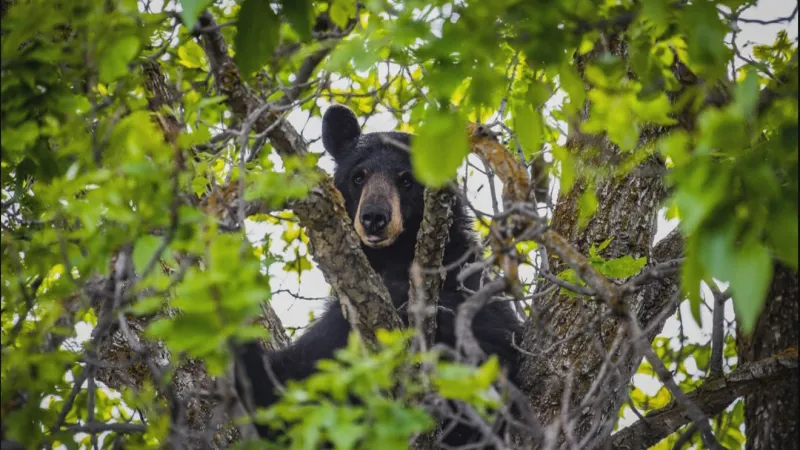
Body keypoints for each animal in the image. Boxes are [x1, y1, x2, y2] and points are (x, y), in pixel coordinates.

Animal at [234, 104, 524, 448]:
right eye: (359, 176)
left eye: (406, 179)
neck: (392, 259)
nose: (374, 217)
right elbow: (296, 380)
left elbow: (494, 341)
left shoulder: (467, 278)